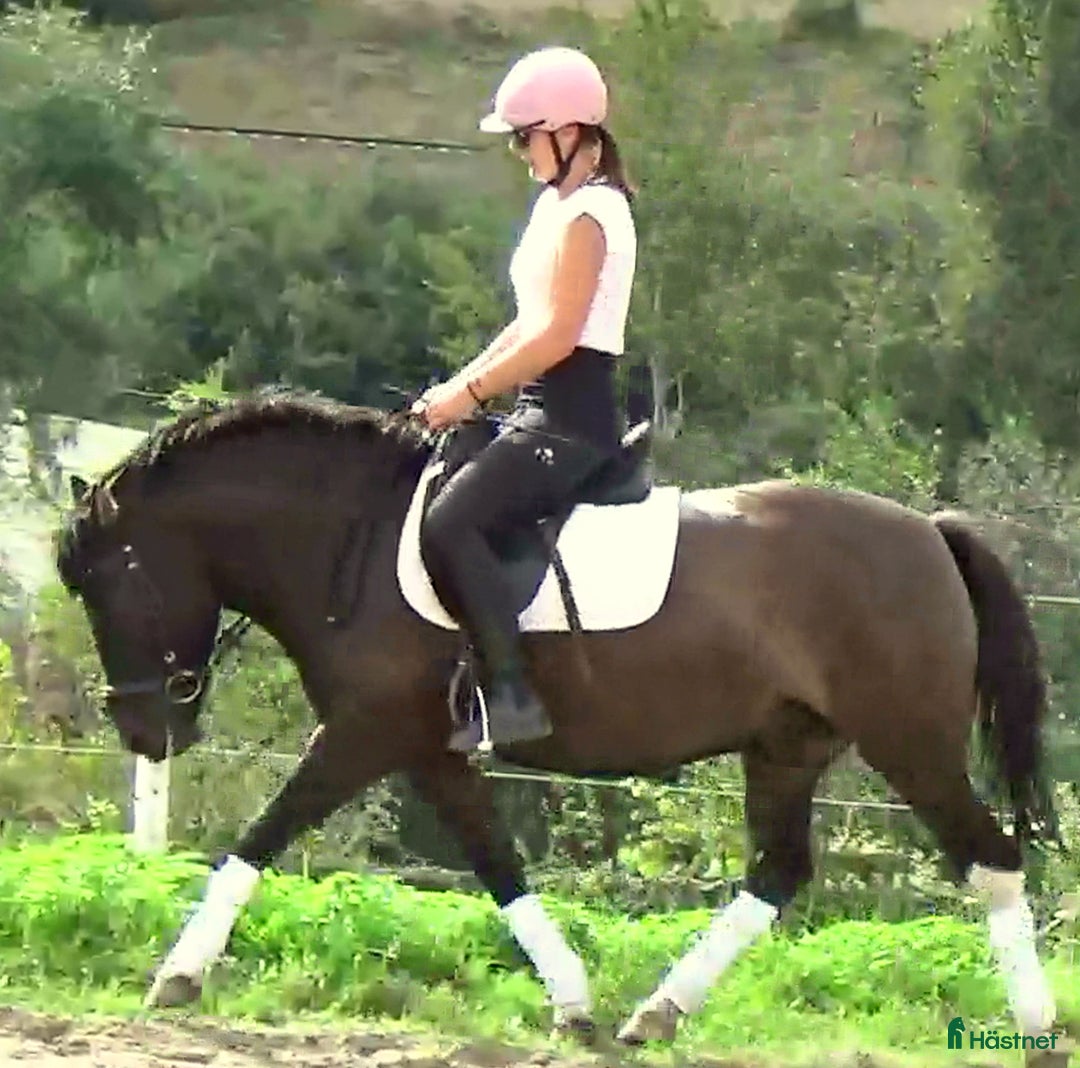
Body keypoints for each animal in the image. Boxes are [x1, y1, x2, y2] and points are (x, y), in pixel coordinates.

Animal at [54, 389, 1070, 1065]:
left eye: (107, 581)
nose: (143, 730)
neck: (352, 537)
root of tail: (930, 534)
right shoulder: (427, 751)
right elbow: (497, 866)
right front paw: (574, 1006)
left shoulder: (362, 733)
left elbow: (261, 836)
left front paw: (176, 976)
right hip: (787, 744)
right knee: (778, 873)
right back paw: (654, 1015)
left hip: (910, 741)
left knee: (989, 858)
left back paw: (1037, 1031)